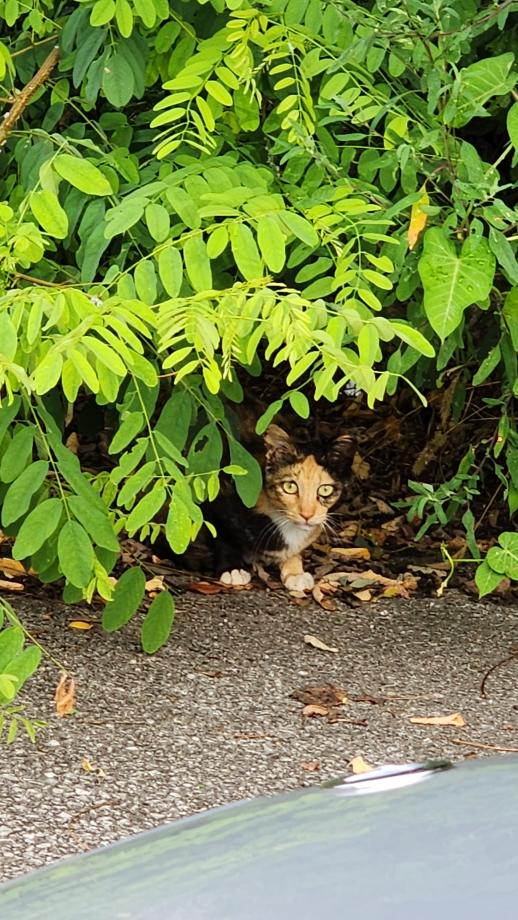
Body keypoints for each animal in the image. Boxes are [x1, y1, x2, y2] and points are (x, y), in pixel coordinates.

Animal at [175, 422, 358, 588]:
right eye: (290, 486)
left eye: (325, 490)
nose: (307, 515)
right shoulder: (217, 494)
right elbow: (221, 535)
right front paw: (233, 569)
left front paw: (295, 573)